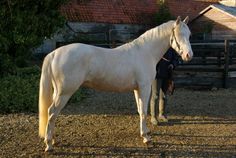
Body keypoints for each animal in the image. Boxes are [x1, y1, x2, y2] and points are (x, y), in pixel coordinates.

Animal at [38, 16, 193, 152]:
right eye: (179, 34)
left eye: (189, 34)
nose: (189, 55)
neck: (145, 52)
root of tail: (54, 53)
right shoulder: (144, 88)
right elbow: (144, 111)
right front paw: (146, 138)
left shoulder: (137, 89)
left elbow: (139, 110)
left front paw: (143, 133)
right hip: (64, 93)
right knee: (52, 112)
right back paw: (49, 144)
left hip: (58, 92)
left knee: (52, 115)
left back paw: (53, 140)